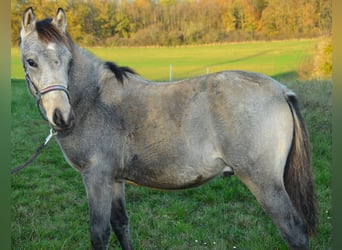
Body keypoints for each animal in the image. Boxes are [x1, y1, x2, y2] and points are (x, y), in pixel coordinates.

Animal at [19, 6, 318, 249]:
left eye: (69, 61)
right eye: (31, 61)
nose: (61, 116)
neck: (94, 99)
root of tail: (281, 91)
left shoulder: (96, 178)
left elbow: (99, 234)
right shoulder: (114, 179)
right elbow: (121, 225)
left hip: (264, 183)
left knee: (294, 232)